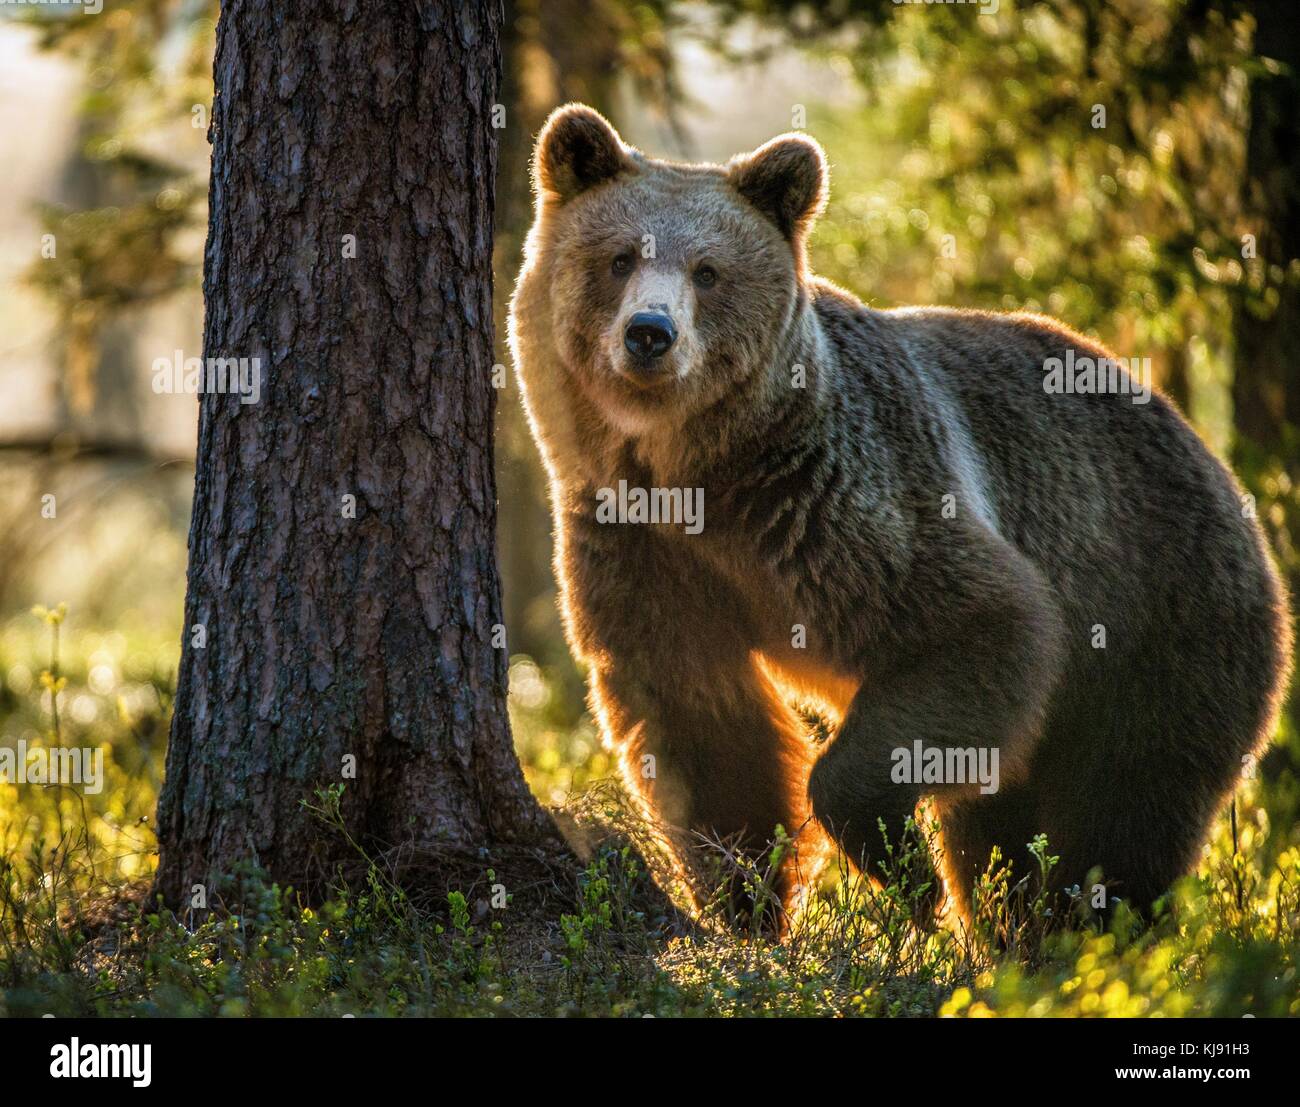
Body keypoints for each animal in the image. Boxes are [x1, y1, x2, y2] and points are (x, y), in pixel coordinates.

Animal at [507, 103, 1293, 931]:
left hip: (1158, 621)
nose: (650, 333)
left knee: (1119, 813)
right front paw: (751, 900)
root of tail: (1217, 464)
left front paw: (905, 877)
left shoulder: (840, 499)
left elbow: (977, 623)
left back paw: (1082, 928)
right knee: (1004, 830)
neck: (703, 475)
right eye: (620, 257)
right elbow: (700, 720)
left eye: (709, 271)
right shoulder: (638, 541)